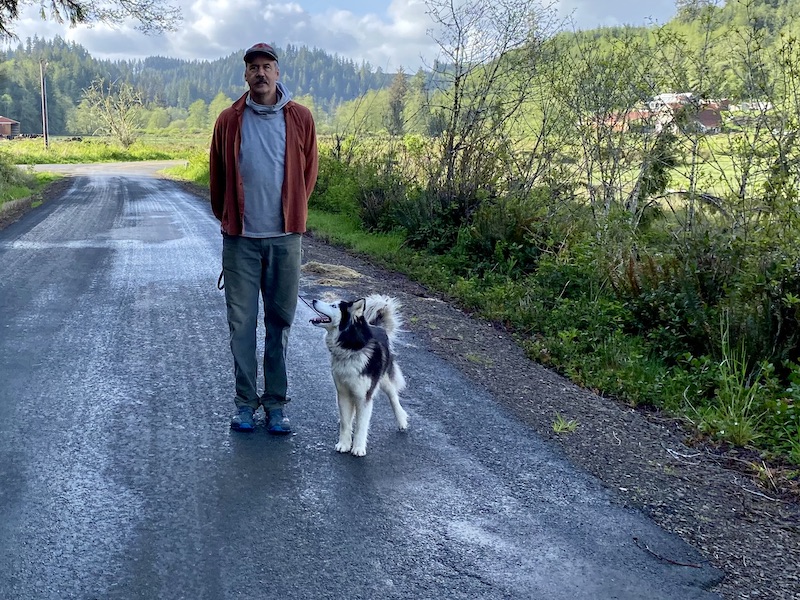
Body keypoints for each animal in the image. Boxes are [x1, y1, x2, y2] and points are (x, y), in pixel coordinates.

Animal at [306, 294, 406, 454]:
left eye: (334, 306)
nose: (314, 300)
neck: (350, 349)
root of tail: (378, 327)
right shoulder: (343, 391)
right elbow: (346, 423)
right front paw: (344, 444)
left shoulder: (364, 396)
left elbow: (361, 424)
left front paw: (358, 447)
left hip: (384, 381)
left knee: (394, 398)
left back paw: (402, 420)